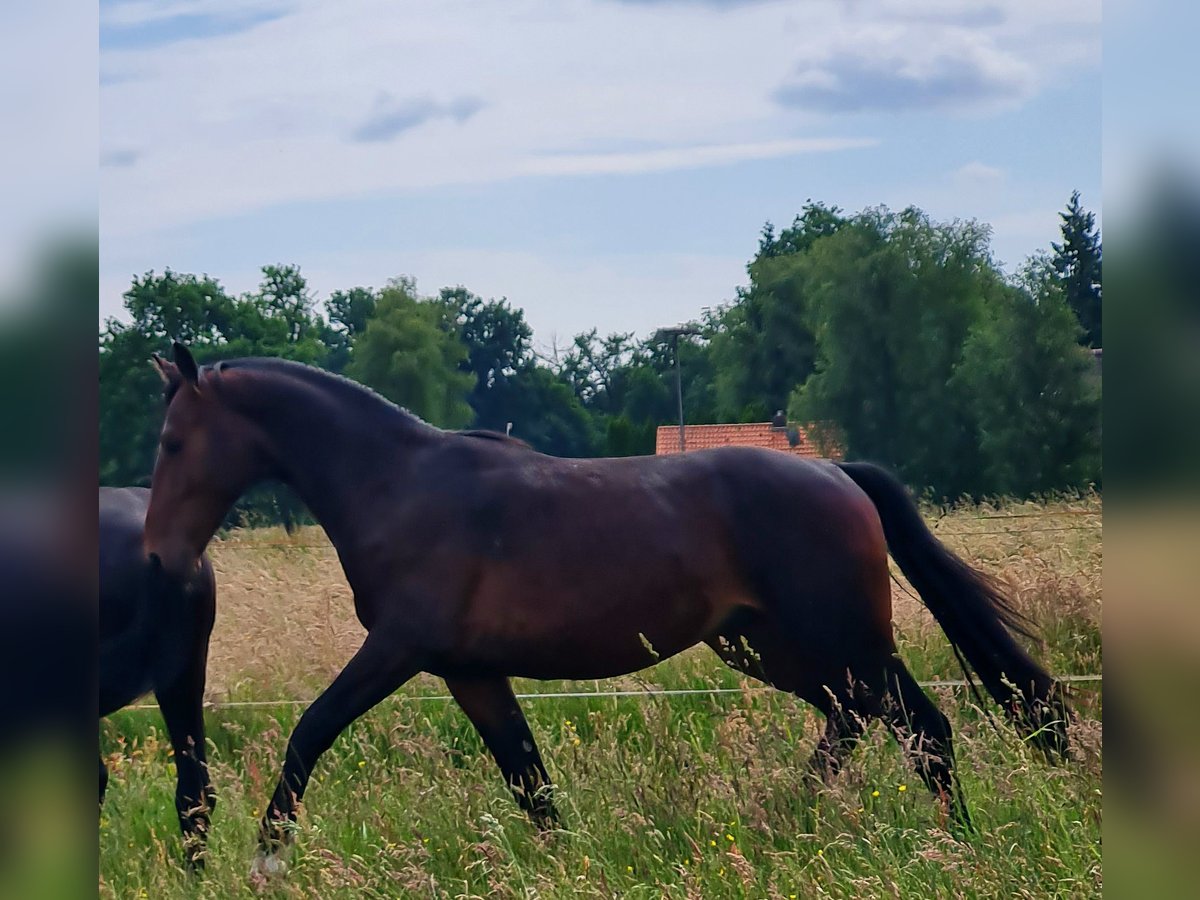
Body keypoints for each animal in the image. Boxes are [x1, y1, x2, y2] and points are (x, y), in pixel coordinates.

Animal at [142, 343, 1070, 873]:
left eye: (173, 442)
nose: (156, 558)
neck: (397, 487)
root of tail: (839, 475)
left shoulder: (399, 649)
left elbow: (311, 730)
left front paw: (267, 860)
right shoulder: (470, 672)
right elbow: (529, 781)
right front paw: (569, 863)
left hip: (841, 642)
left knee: (923, 729)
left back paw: (952, 846)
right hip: (771, 649)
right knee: (853, 724)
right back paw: (784, 818)